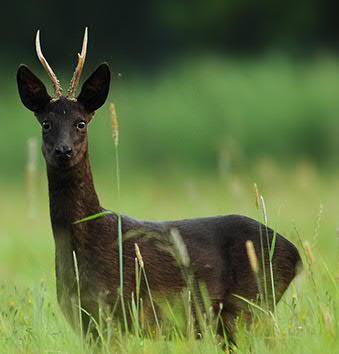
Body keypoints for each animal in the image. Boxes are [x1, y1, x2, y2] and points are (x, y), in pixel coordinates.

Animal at [17, 29, 302, 346]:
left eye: (80, 123)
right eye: (46, 123)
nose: (63, 151)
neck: (83, 245)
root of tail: (295, 254)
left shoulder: (117, 310)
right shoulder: (86, 321)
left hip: (251, 306)